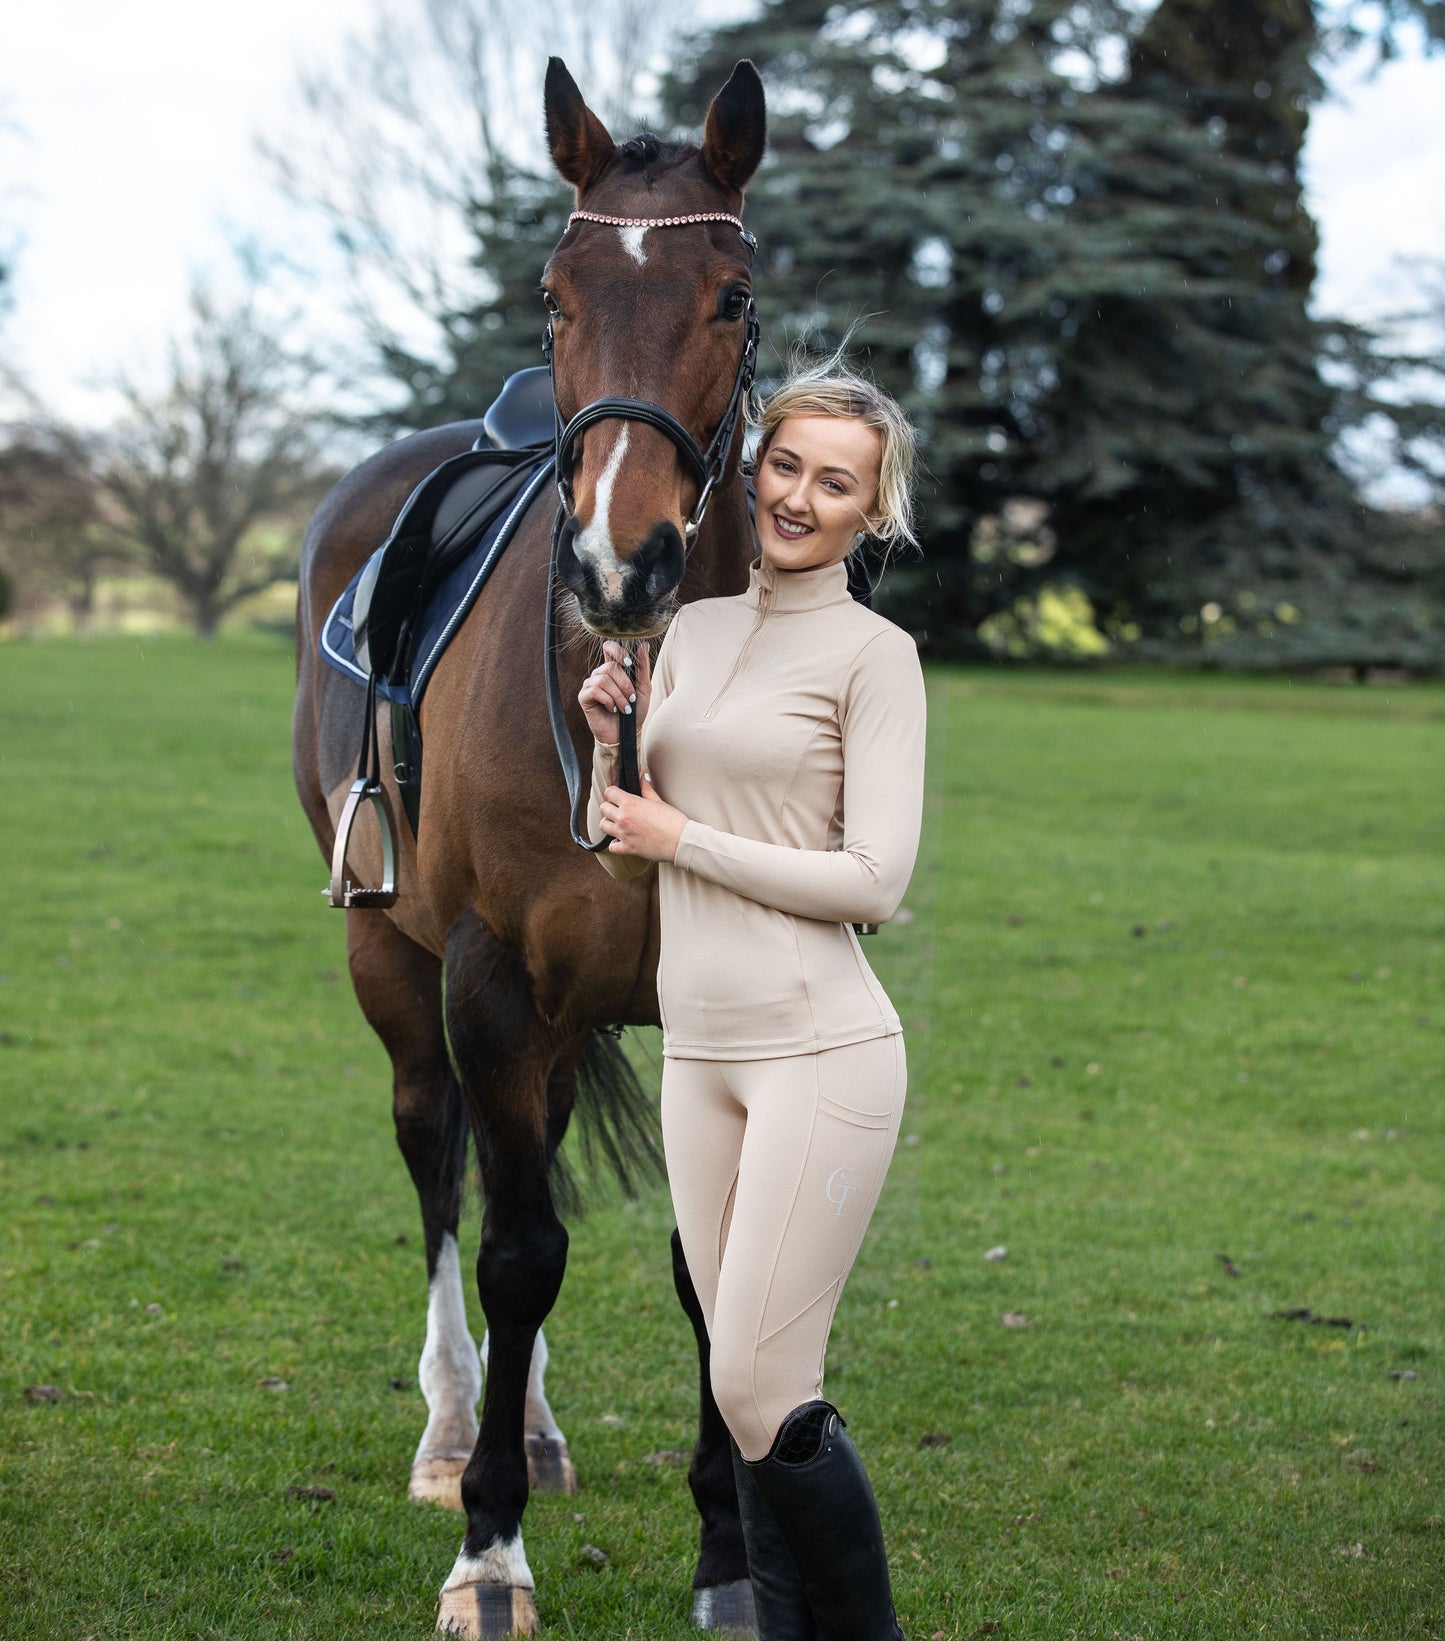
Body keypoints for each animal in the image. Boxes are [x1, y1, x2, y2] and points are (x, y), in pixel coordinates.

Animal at [292, 55, 769, 1641]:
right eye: (552, 294)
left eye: (731, 296)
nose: (621, 564)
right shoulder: (489, 975)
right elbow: (514, 1252)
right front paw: (489, 1551)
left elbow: (699, 1260)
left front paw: (733, 1555)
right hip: (395, 959)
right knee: (443, 1167)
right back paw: (459, 1430)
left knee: (531, 1157)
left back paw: (539, 1428)